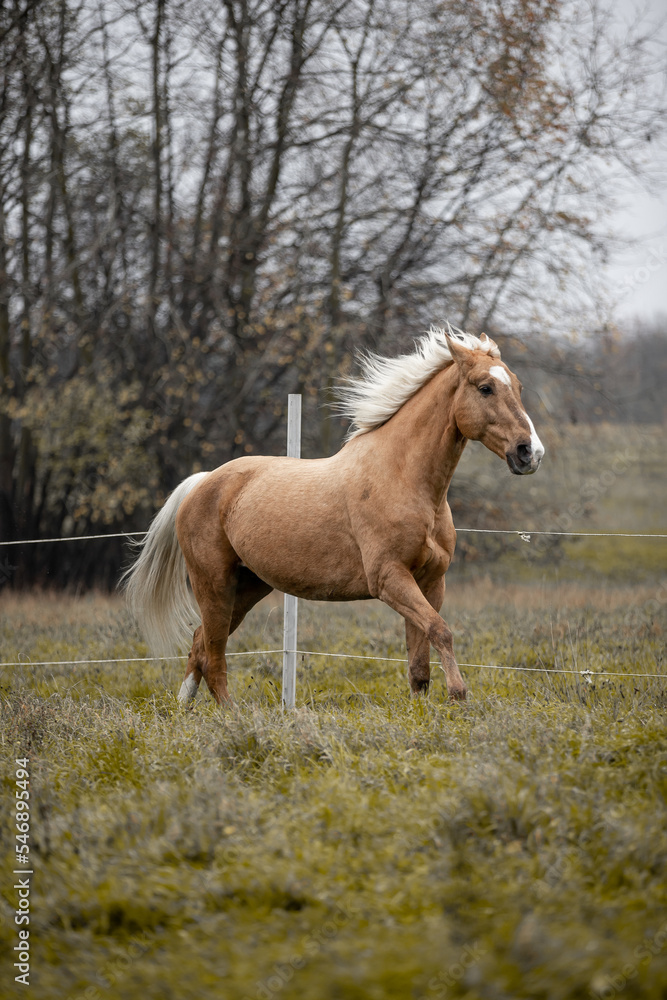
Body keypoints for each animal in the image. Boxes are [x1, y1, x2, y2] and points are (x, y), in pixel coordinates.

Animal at [122, 325, 544, 705]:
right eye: (485, 387)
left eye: (518, 386)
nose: (530, 453)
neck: (405, 481)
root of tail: (203, 482)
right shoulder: (389, 578)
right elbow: (441, 632)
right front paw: (459, 696)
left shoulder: (430, 581)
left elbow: (419, 663)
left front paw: (423, 712)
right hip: (214, 584)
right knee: (214, 656)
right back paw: (233, 716)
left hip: (249, 586)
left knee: (200, 645)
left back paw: (185, 711)